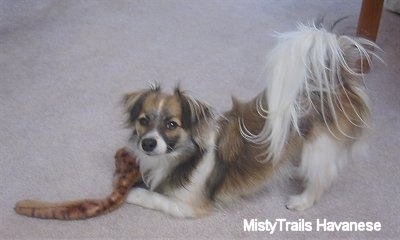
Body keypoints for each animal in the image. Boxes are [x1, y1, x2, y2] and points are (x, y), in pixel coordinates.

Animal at [123, 23, 380, 218]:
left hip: (319, 147)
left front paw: (132, 193)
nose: (148, 143)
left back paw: (301, 200)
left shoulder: (190, 205)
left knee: (323, 177)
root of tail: (335, 82)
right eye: (143, 120)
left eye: (171, 125)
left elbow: (154, 197)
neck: (183, 155)